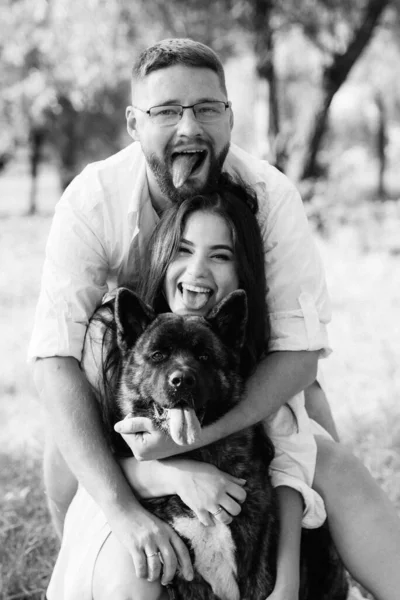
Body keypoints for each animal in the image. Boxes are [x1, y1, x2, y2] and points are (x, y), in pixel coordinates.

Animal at [86, 288, 348, 596]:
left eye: (204, 356)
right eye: (158, 355)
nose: (182, 380)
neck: (194, 456)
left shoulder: (256, 560)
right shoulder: (185, 572)